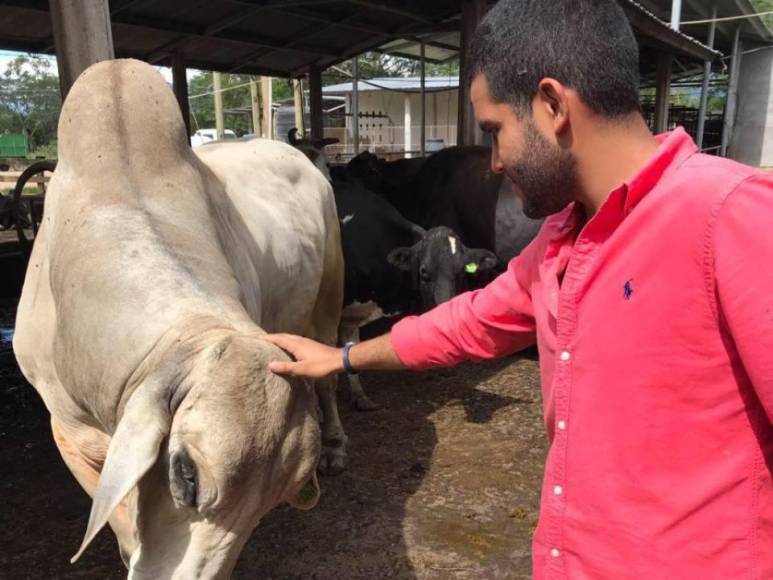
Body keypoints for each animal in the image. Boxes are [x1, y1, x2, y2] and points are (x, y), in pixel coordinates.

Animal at [13, 60, 346, 580]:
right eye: (185, 475)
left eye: (269, 506)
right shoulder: (67, 433)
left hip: (329, 294)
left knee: (329, 374)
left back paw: (335, 444)